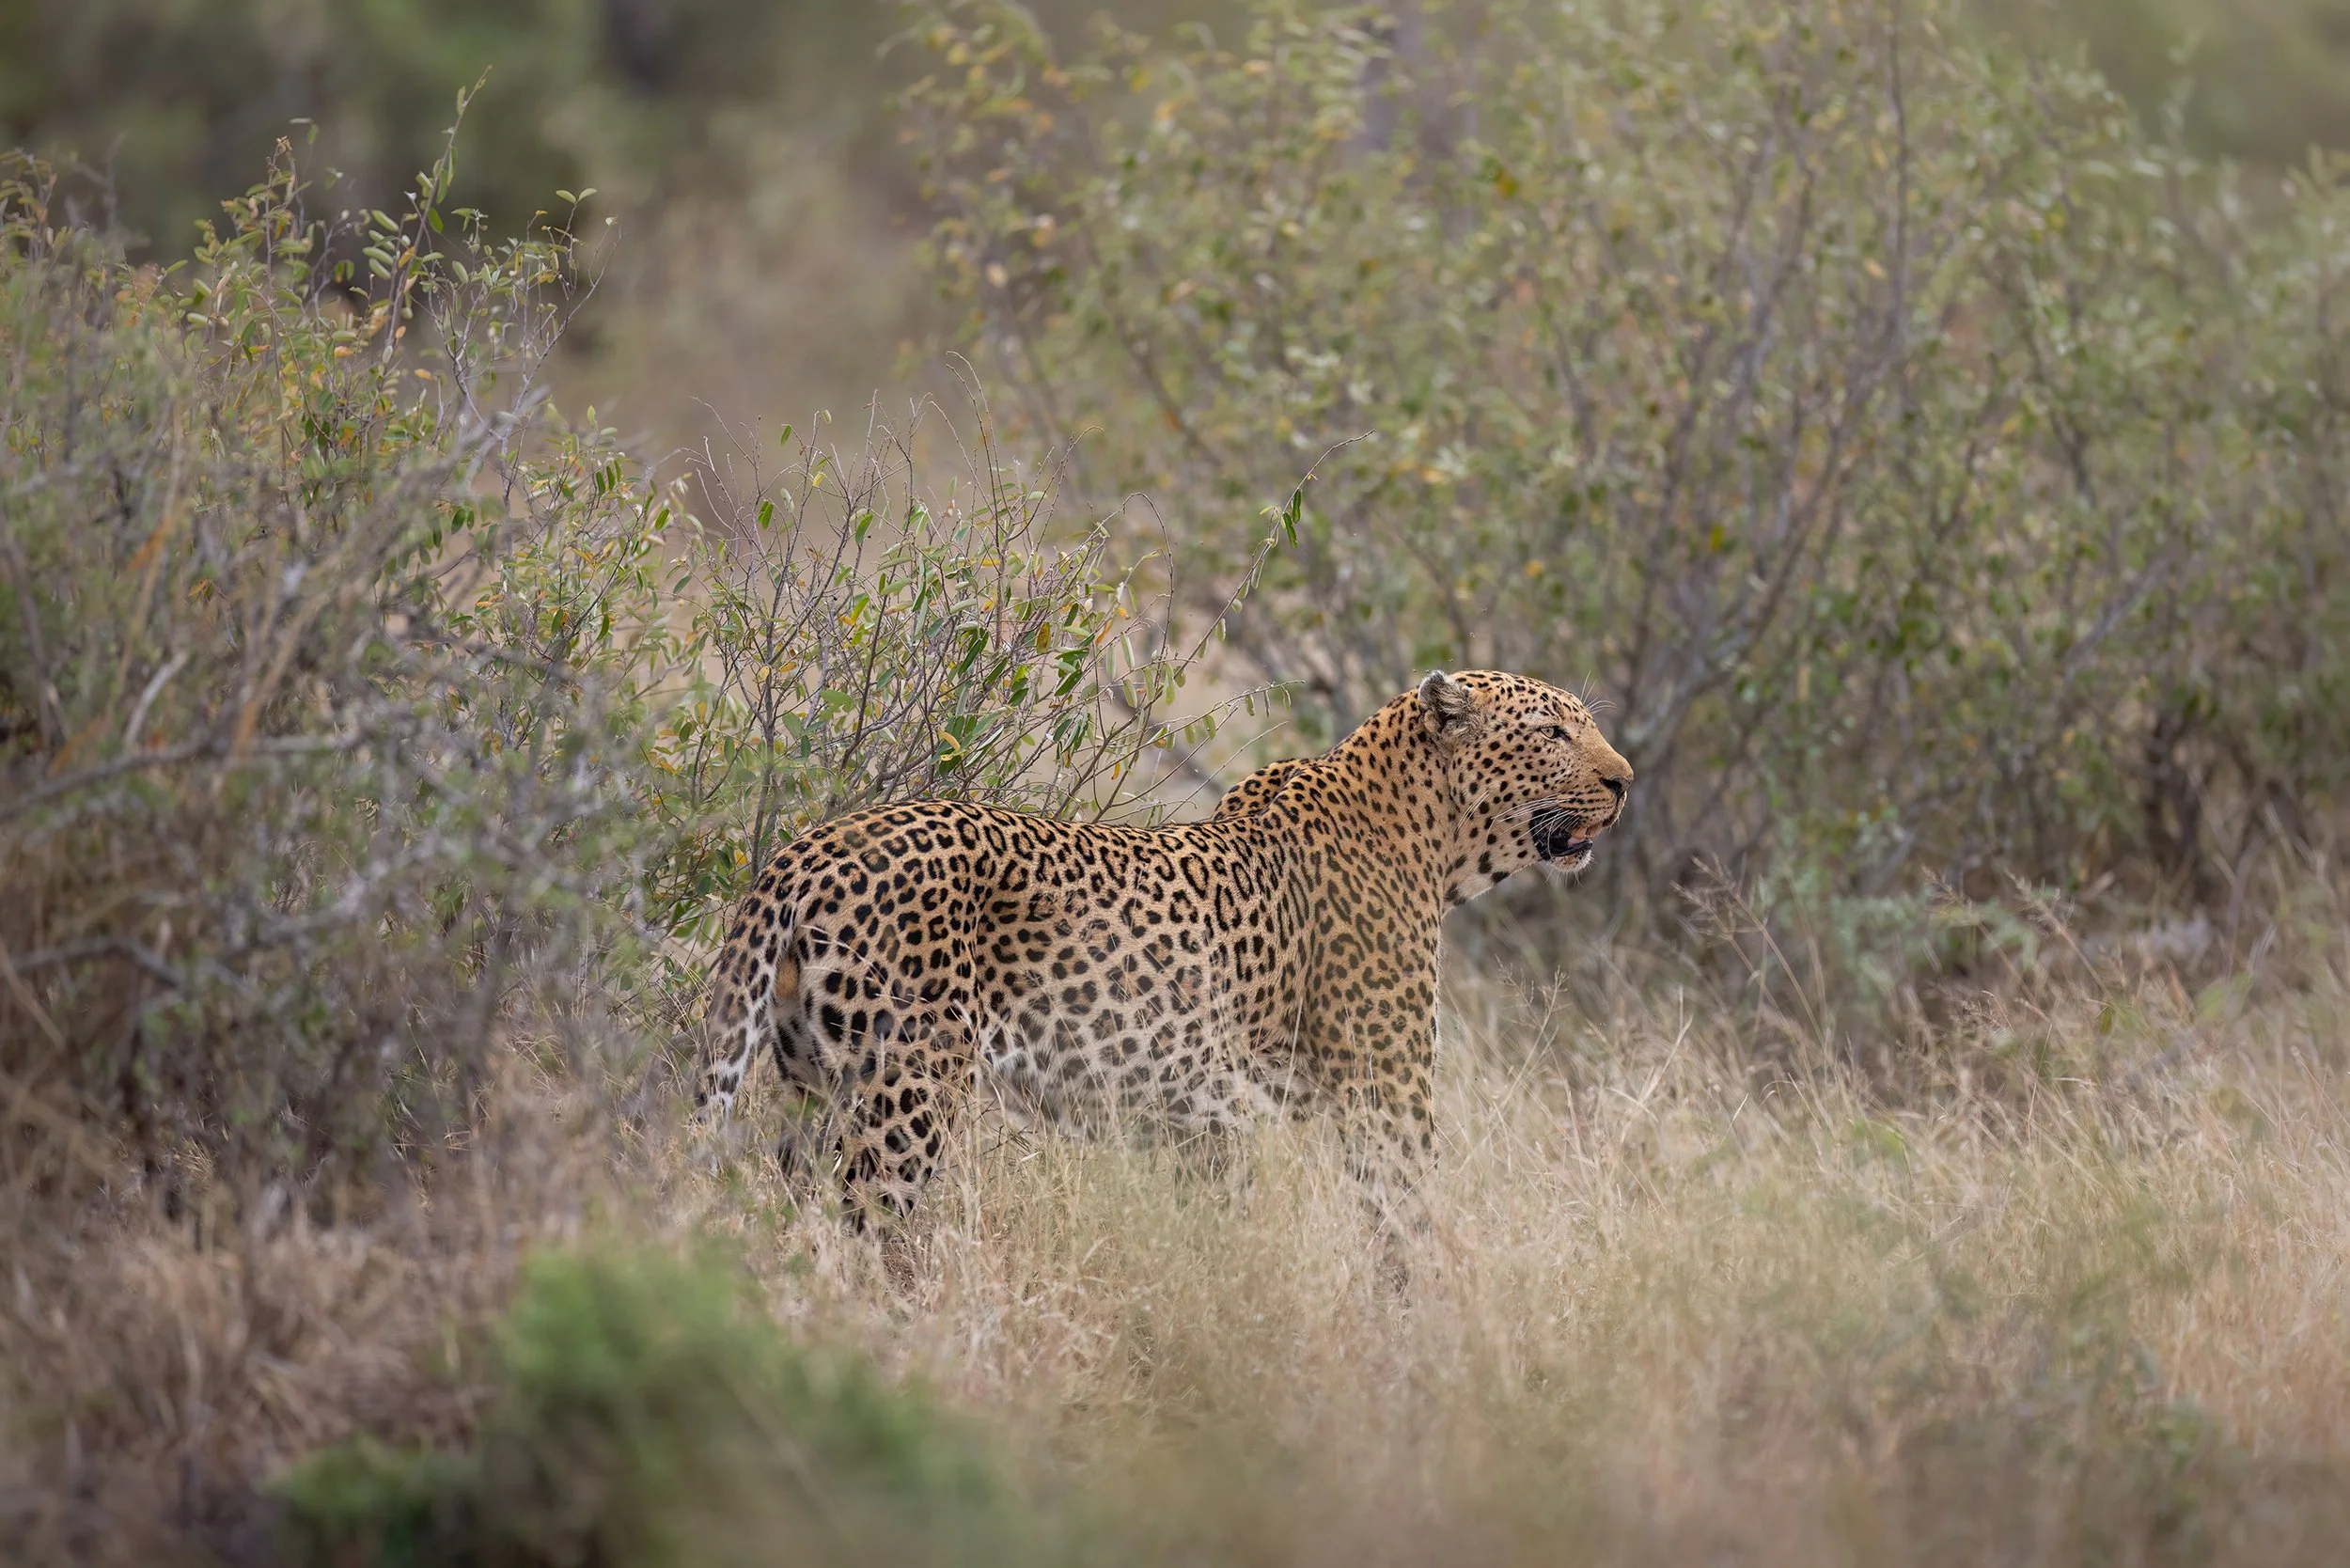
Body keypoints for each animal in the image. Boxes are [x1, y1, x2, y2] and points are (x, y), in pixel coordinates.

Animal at [696, 669, 1632, 1225]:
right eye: (1553, 733)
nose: (1625, 780)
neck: (1431, 842)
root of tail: (809, 846)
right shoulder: (1387, 1095)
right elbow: (1405, 1229)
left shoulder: (1204, 1124)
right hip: (906, 1087)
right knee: (868, 1228)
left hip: (810, 1084)